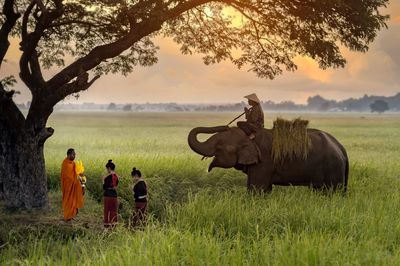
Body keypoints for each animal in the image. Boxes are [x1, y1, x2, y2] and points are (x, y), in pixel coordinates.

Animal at [188, 125, 346, 192]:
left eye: (220, 147)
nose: (224, 126)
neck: (250, 137)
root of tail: (341, 147)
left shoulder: (264, 162)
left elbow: (256, 188)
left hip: (333, 167)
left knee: (331, 192)